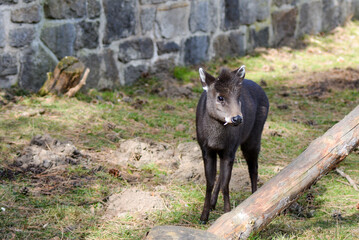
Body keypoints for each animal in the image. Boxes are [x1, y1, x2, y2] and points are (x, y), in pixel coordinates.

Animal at [195, 65, 268, 223]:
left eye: (238, 97)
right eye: (220, 97)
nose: (237, 118)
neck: (216, 139)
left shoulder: (230, 149)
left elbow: (226, 183)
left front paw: (227, 212)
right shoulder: (206, 149)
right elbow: (210, 182)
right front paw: (203, 216)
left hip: (254, 136)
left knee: (253, 168)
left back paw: (254, 196)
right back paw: (213, 204)